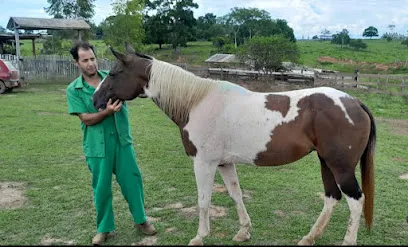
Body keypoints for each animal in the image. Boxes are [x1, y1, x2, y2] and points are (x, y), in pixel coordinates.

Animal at [92, 43, 376, 246]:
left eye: (114, 73)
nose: (96, 99)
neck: (196, 102)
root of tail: (354, 102)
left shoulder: (204, 163)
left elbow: (203, 200)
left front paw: (199, 237)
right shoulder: (224, 163)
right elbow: (235, 194)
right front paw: (243, 232)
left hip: (340, 166)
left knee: (355, 201)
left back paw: (346, 241)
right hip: (325, 162)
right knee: (332, 198)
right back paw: (309, 238)